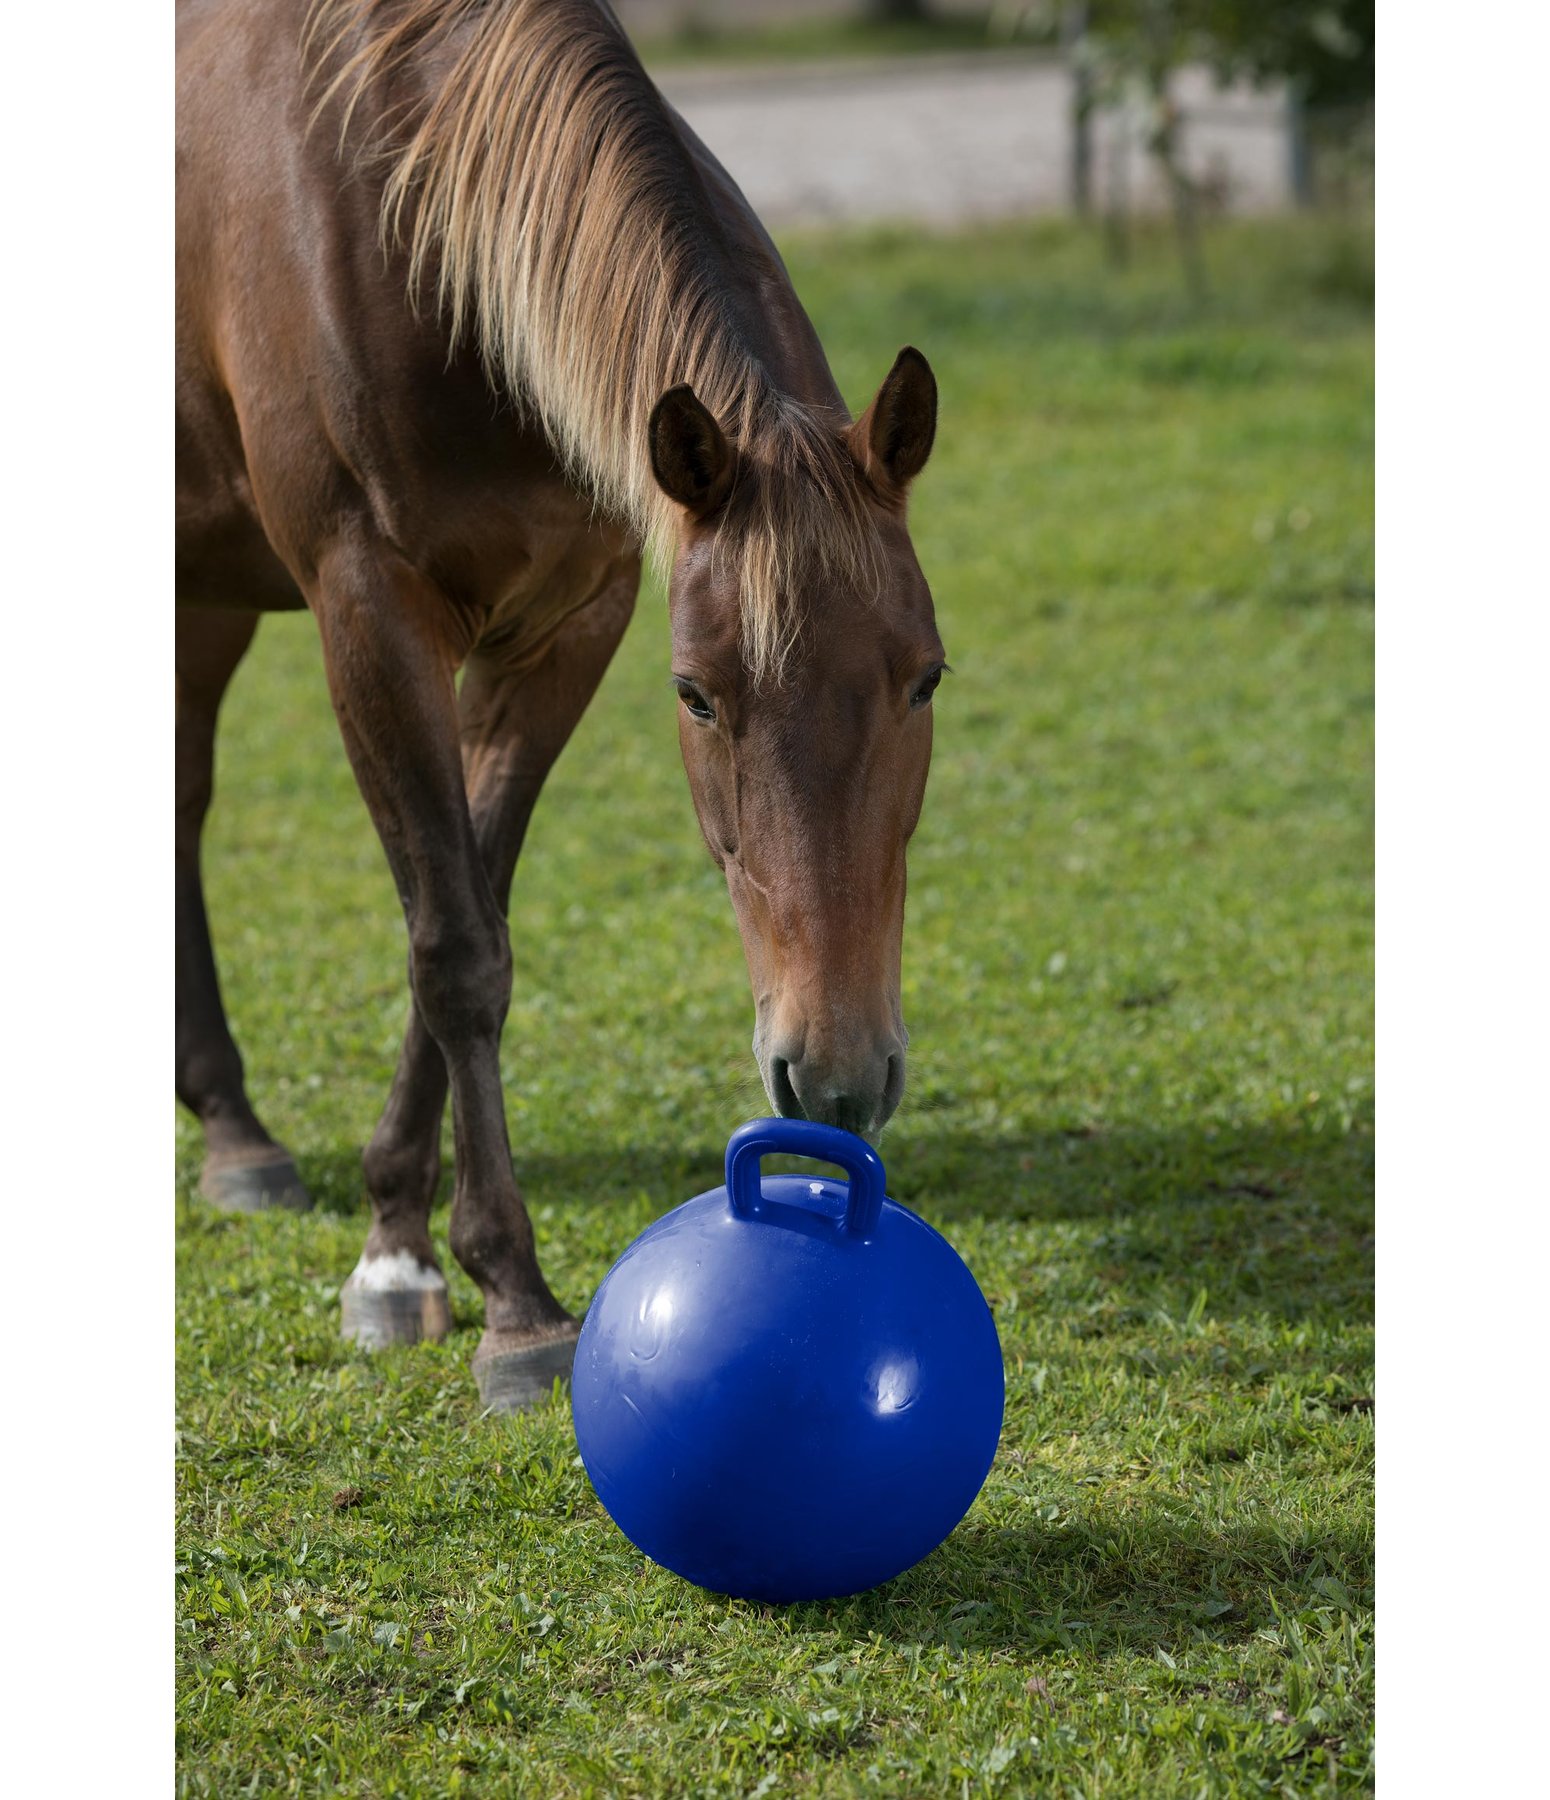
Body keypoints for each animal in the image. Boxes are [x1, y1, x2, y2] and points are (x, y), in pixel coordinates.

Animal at [176, 0, 946, 1411]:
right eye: (696, 697)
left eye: (924, 676)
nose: (832, 1073)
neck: (416, 218)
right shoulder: (369, 618)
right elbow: (453, 947)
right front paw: (492, 1297)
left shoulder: (566, 626)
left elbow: (476, 904)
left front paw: (401, 1222)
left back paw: (234, 1132)